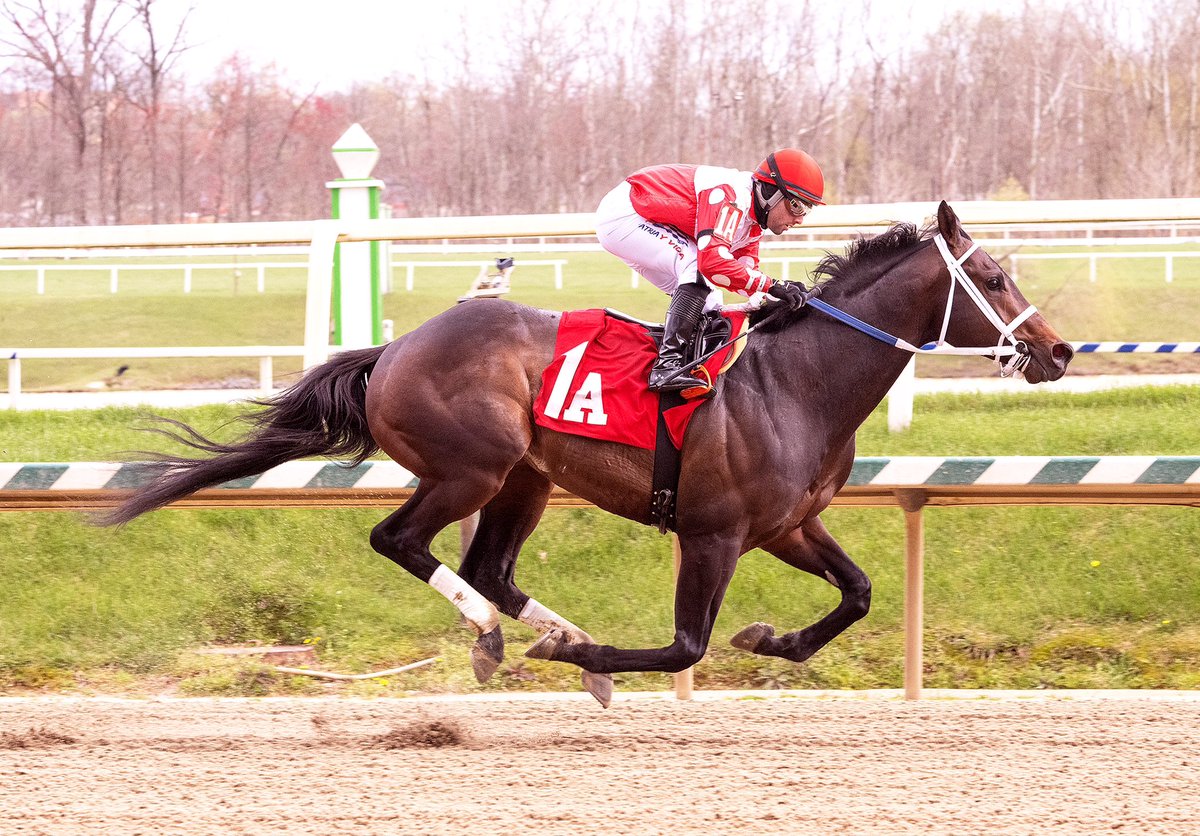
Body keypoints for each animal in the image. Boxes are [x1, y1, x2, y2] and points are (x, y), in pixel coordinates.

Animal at [108, 202, 1075, 705]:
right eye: (994, 278)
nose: (1058, 351)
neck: (794, 384)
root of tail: (395, 348)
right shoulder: (715, 534)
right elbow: (684, 647)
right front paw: (592, 663)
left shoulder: (787, 526)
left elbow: (860, 594)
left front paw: (772, 637)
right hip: (472, 466)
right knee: (403, 543)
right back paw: (504, 638)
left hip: (525, 480)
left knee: (491, 568)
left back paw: (548, 628)